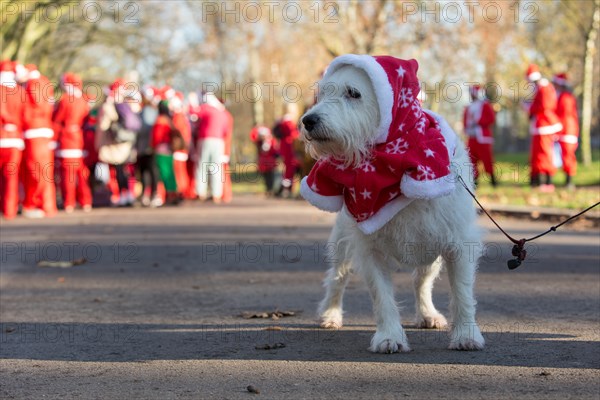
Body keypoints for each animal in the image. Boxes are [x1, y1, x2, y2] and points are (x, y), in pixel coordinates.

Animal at [298, 55, 486, 354]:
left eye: (353, 93)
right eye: (322, 93)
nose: (308, 120)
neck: (387, 167)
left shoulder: (457, 243)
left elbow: (462, 292)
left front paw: (466, 334)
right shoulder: (369, 249)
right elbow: (382, 297)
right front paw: (389, 336)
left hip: (429, 251)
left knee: (421, 281)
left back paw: (427, 314)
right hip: (342, 245)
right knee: (337, 278)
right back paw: (330, 314)